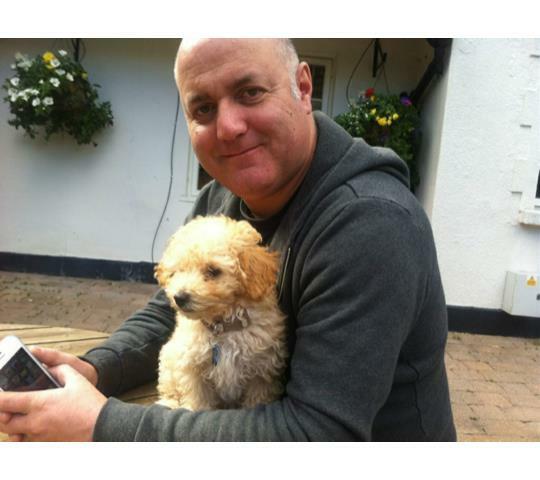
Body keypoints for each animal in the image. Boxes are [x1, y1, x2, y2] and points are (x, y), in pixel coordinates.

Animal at [154, 215, 287, 411]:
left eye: (213, 271)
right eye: (178, 271)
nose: (179, 297)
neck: (223, 326)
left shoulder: (262, 373)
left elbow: (256, 400)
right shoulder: (192, 369)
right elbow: (198, 403)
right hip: (169, 358)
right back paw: (169, 402)